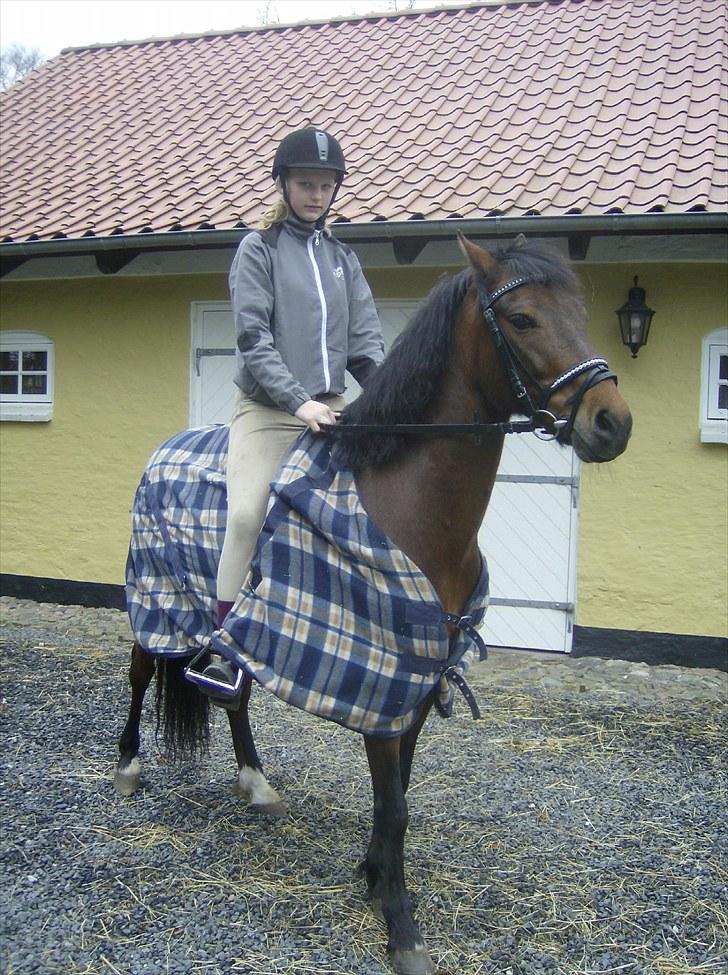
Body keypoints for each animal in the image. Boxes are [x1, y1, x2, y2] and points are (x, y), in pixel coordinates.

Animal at [115, 235, 632, 975]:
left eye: (581, 313)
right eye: (523, 319)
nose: (611, 421)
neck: (410, 506)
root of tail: (166, 447)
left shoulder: (413, 682)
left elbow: (399, 796)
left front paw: (375, 874)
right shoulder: (378, 687)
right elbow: (394, 807)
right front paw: (401, 924)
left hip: (232, 633)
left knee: (234, 695)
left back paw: (255, 782)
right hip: (155, 602)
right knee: (137, 677)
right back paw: (129, 768)